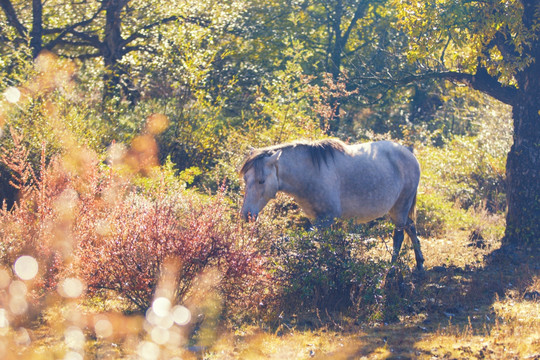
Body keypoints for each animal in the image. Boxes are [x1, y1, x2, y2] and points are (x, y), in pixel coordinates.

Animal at [240, 139, 426, 272]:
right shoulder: (318, 220)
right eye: (246, 179)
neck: (311, 174)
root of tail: (409, 153)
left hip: (400, 207)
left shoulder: (326, 219)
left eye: (261, 181)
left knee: (398, 237)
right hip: (396, 209)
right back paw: (420, 265)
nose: (246, 215)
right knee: (411, 226)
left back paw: (391, 273)